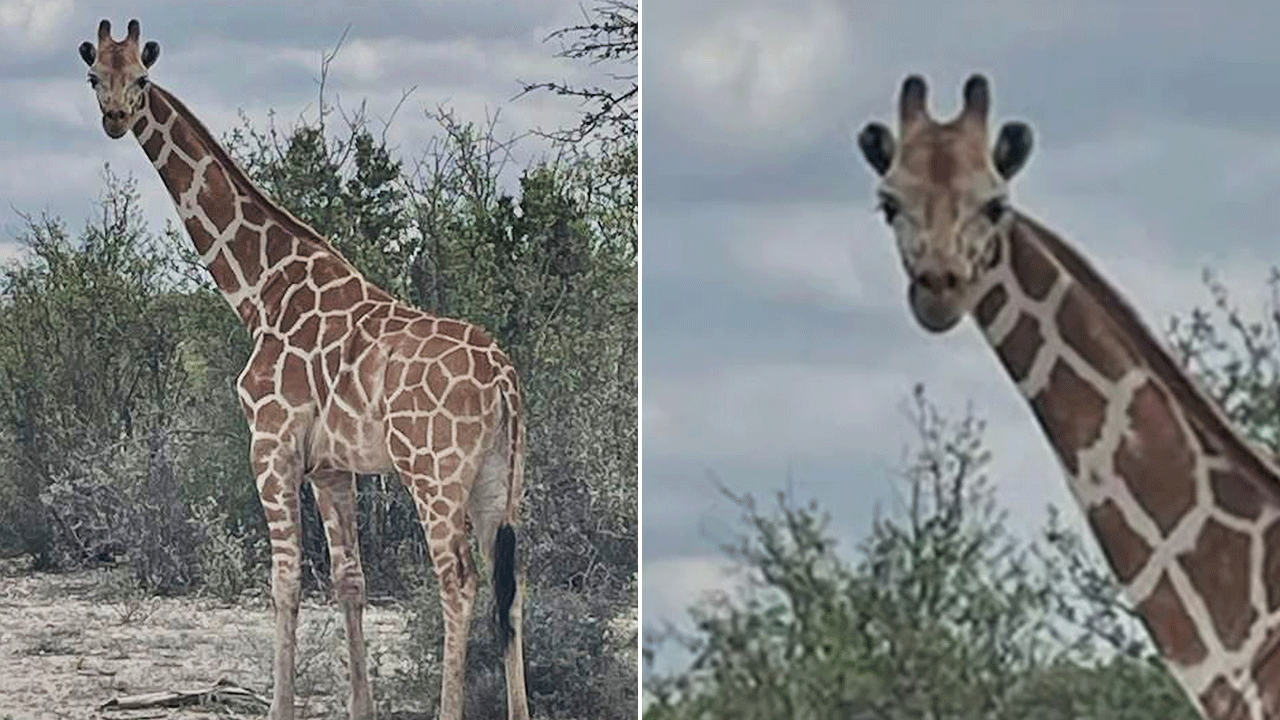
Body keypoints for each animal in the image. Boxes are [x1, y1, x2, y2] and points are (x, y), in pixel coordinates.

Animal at [77, 19, 530, 720]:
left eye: (143, 79)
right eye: (95, 74)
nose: (115, 118)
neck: (260, 291)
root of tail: (506, 381)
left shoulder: (271, 443)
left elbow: (285, 580)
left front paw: (280, 706)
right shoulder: (332, 466)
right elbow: (349, 581)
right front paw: (360, 708)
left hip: (434, 473)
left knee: (459, 581)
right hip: (498, 480)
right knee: (513, 586)